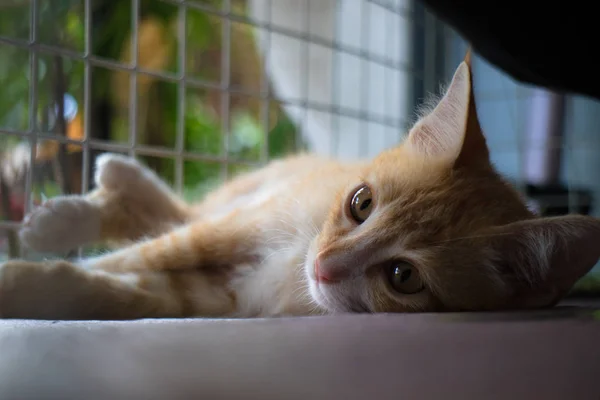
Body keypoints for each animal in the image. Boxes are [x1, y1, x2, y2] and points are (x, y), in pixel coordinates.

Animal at [1, 54, 600, 320]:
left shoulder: (216, 300)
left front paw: (29, 284)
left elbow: (105, 287)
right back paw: (81, 204)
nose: (324, 266)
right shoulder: (248, 224)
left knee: (170, 216)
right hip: (259, 191)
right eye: (361, 203)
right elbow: (145, 253)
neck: (292, 270)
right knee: (182, 216)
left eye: (404, 276)